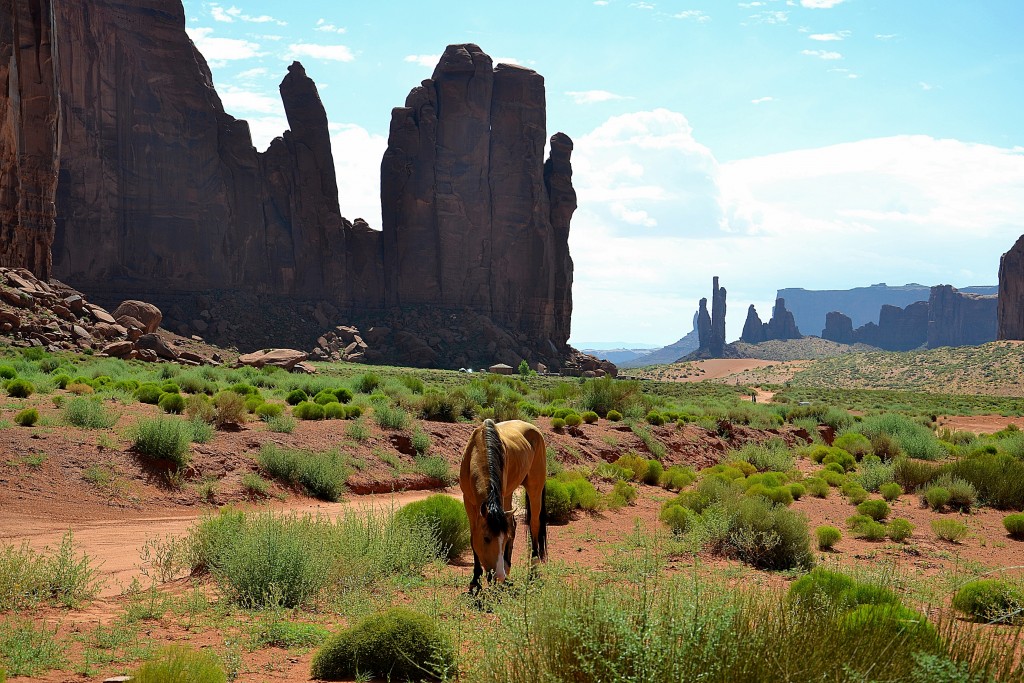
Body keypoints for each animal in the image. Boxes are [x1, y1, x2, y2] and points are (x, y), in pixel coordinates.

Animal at [460, 417, 548, 593]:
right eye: (486, 538)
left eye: (503, 539)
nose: (498, 576)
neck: (479, 449)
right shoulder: (468, 501)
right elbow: (473, 537)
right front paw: (475, 581)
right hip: (509, 493)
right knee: (513, 524)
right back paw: (508, 569)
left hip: (535, 487)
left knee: (534, 524)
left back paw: (532, 570)